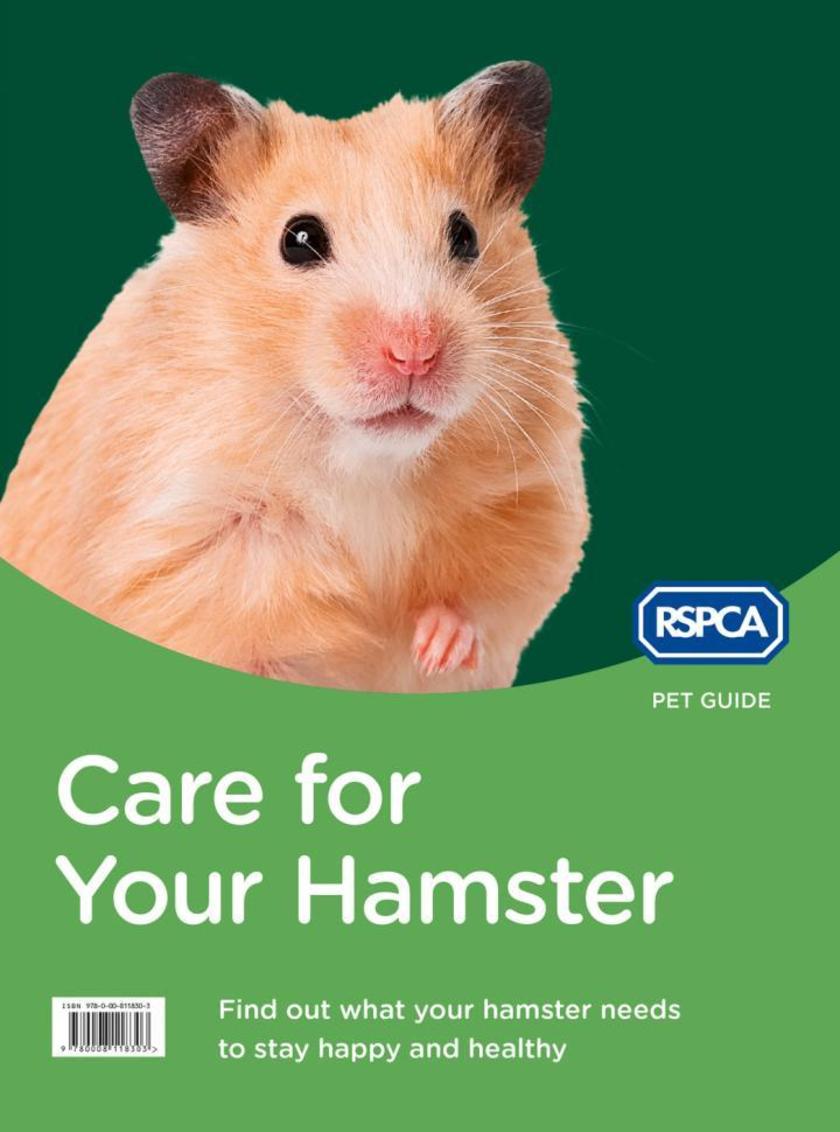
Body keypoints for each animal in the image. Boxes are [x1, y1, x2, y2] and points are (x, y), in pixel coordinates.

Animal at [0, 62, 589, 692]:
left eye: (465, 235)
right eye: (299, 239)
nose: (415, 354)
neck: (369, 465)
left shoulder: (533, 495)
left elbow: (494, 591)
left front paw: (437, 649)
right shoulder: (187, 542)